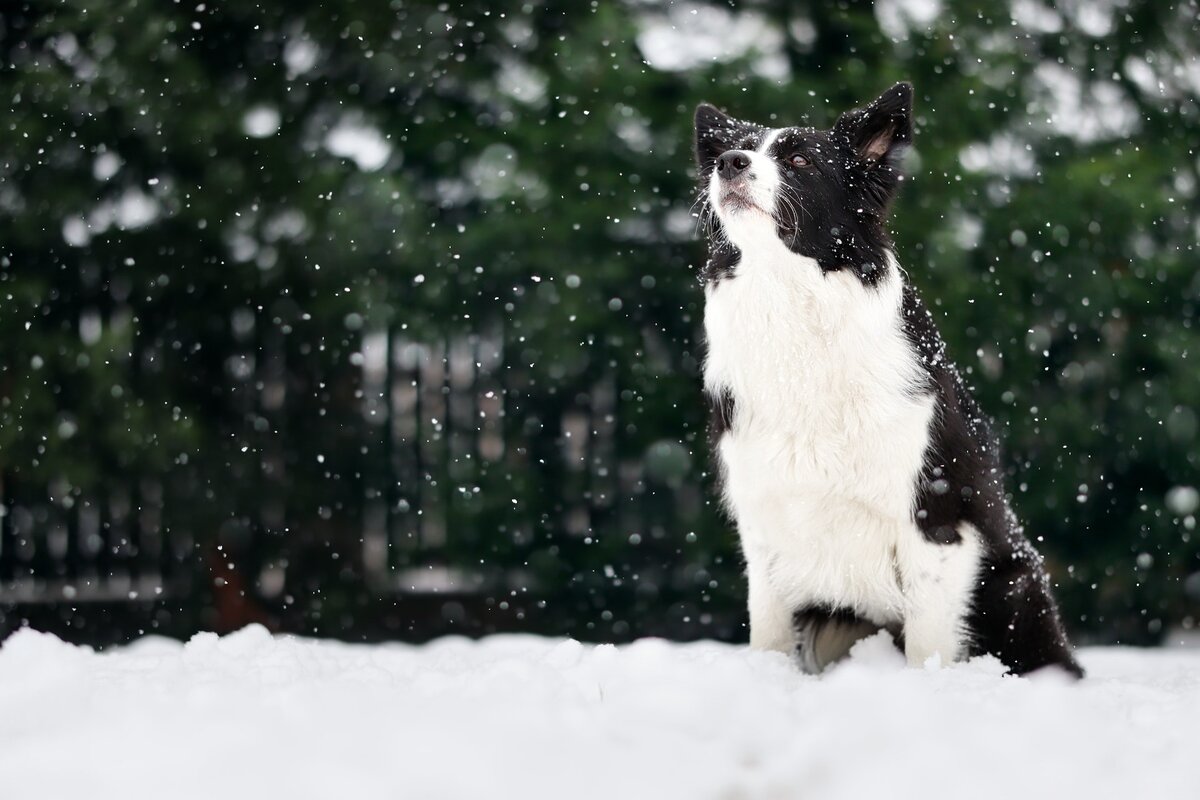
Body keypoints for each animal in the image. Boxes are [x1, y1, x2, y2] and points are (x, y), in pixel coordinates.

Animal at [696, 84, 1080, 681]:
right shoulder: (763, 516)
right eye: (738, 149)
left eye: (801, 161)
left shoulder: (937, 522)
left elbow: (928, 644)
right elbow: (769, 633)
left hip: (1013, 589)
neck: (793, 303)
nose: (728, 163)